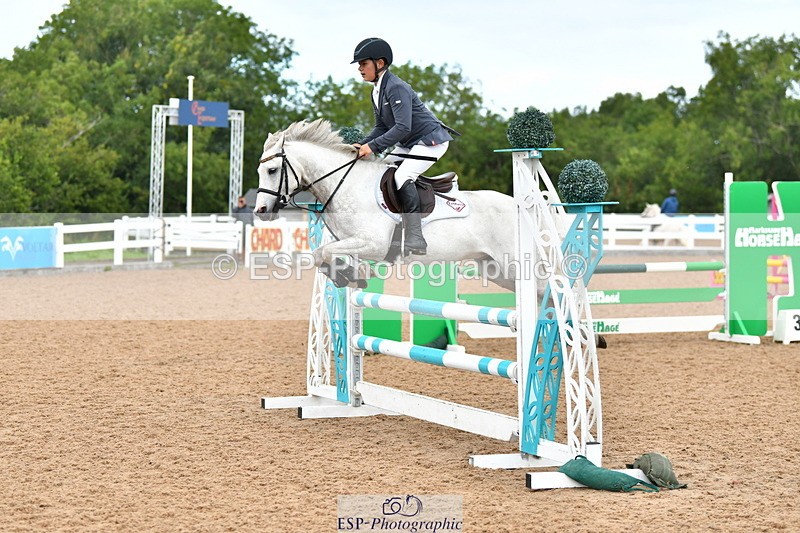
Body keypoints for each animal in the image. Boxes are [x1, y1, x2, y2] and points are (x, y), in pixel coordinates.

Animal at [253, 119, 518, 290]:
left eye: (272, 170)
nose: (261, 211)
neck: (347, 183)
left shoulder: (374, 243)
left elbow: (323, 252)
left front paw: (352, 274)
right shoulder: (348, 241)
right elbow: (321, 255)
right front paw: (352, 274)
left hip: (512, 263)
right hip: (493, 269)